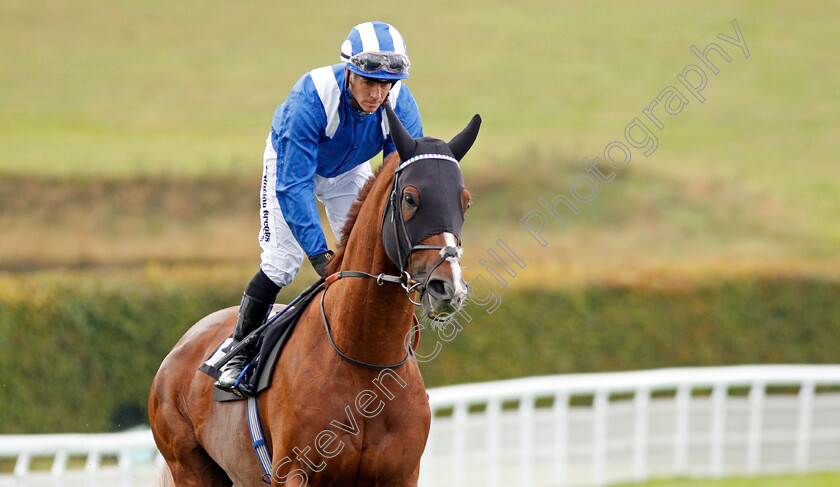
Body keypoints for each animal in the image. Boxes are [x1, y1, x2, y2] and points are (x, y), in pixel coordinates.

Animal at [148, 104, 482, 487]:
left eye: (465, 202)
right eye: (411, 198)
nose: (448, 287)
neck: (365, 358)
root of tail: (182, 345)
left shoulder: (402, 474)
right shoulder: (294, 472)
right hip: (190, 467)